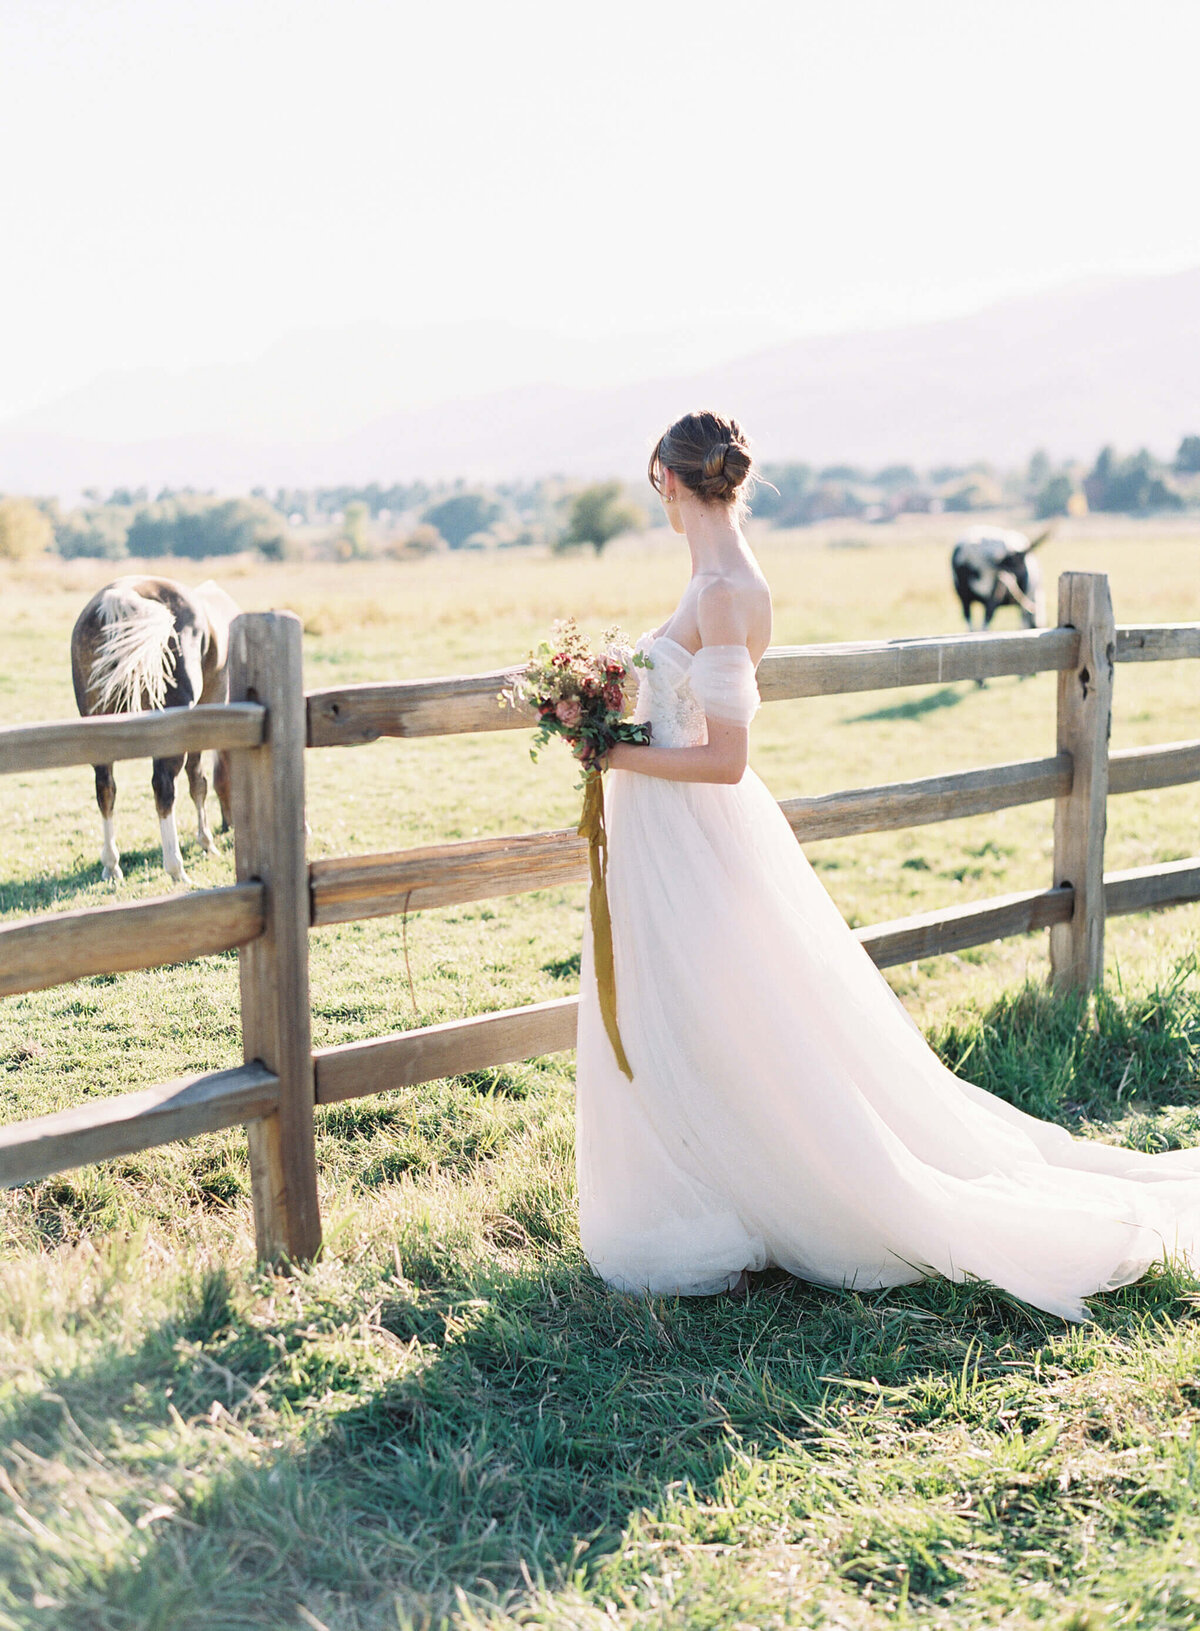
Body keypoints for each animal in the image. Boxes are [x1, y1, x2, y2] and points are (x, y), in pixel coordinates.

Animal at [69, 574, 242, 880]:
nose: (229, 825)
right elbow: (198, 781)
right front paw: (206, 842)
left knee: (105, 788)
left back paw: (111, 865)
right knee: (163, 787)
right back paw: (175, 866)